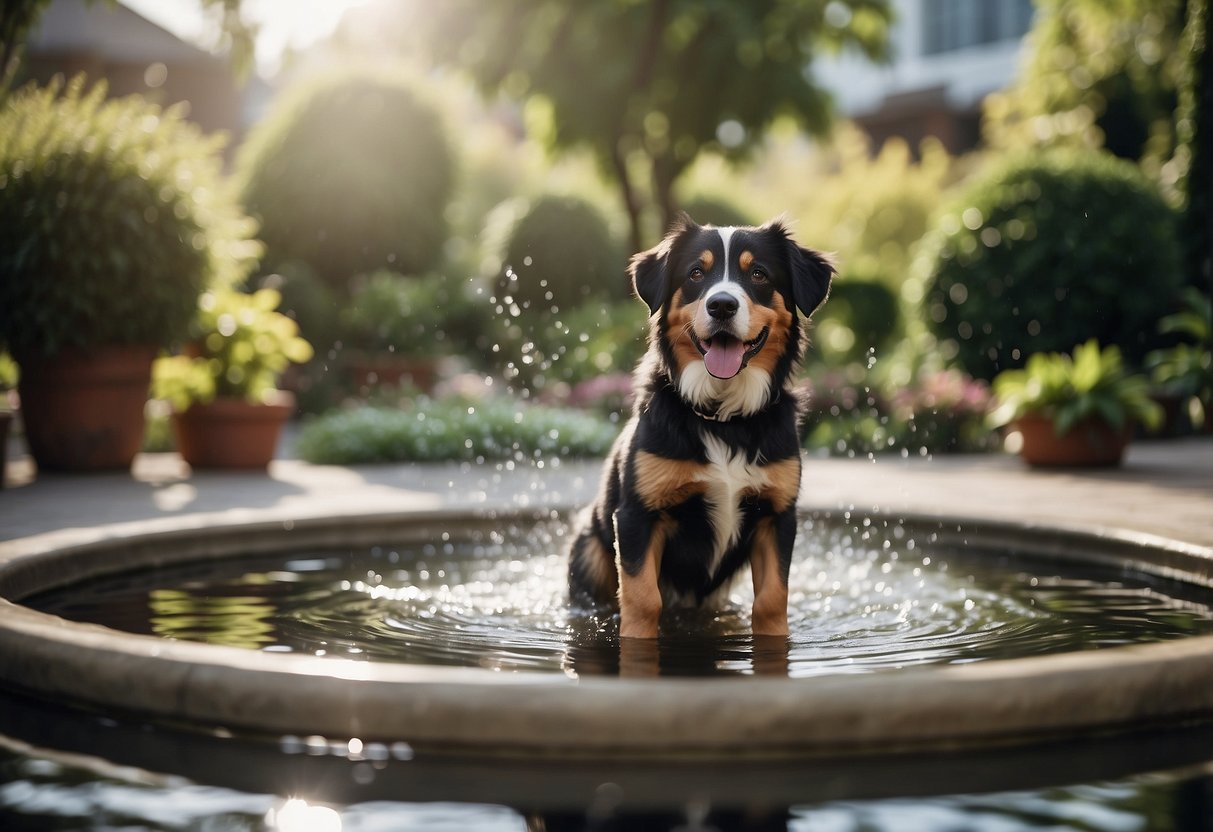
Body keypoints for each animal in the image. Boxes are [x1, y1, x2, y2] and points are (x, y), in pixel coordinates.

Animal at [567, 214, 834, 640]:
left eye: (758, 273)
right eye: (696, 273)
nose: (721, 304)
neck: (723, 419)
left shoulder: (777, 516)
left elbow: (772, 600)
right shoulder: (637, 514)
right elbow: (643, 600)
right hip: (590, 549)